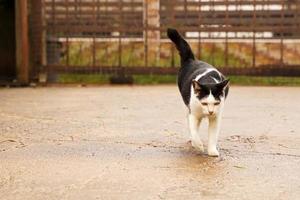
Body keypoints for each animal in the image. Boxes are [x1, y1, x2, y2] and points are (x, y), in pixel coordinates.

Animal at [166, 28, 230, 156]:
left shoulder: (216, 117)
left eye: (216, 103)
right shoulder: (194, 114)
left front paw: (212, 151)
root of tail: (192, 60)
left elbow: (213, 135)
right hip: (187, 107)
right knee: (191, 125)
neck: (208, 80)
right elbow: (194, 131)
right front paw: (199, 146)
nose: (210, 112)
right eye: (204, 103)